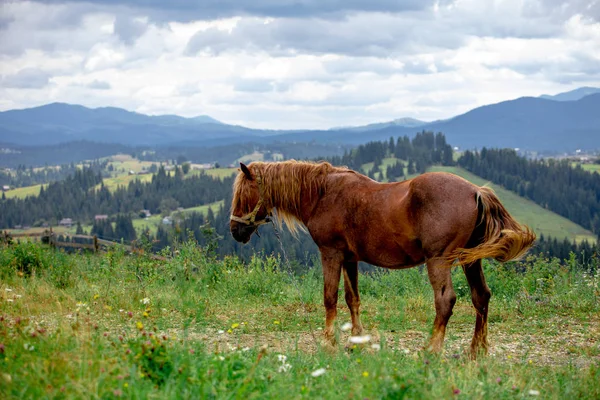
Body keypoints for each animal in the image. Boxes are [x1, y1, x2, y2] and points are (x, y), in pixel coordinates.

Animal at [230, 159, 536, 356]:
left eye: (243, 193)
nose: (235, 231)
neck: (323, 194)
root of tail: (475, 191)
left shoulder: (331, 253)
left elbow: (330, 297)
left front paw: (328, 343)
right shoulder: (350, 258)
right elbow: (352, 298)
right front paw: (355, 340)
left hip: (438, 260)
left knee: (446, 301)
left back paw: (431, 350)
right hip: (471, 260)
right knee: (481, 296)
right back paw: (477, 350)